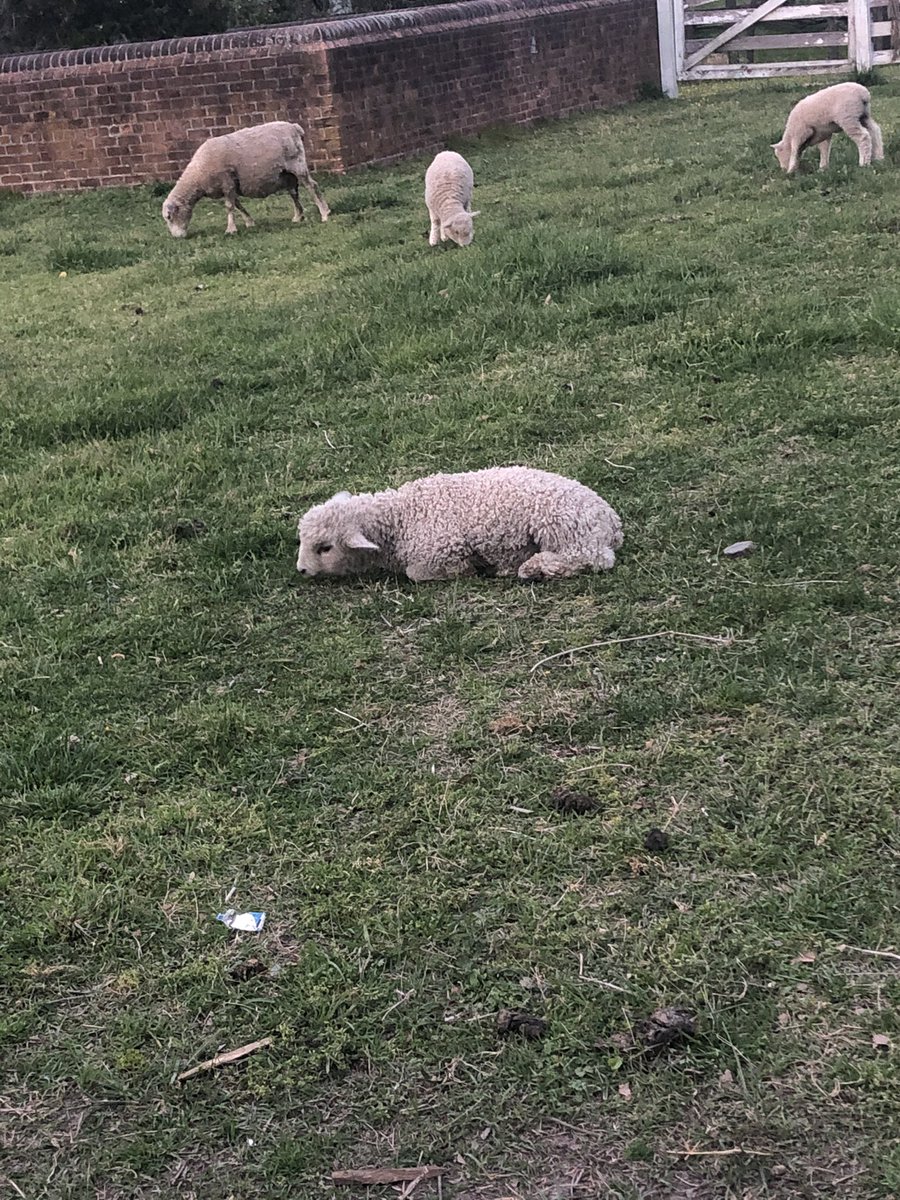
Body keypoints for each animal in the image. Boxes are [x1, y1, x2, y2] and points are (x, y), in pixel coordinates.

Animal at [162, 120, 330, 238]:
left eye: (169, 217)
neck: (197, 177)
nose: (177, 237)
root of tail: (294, 127)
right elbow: (238, 205)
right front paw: (249, 222)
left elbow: (229, 207)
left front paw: (231, 229)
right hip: (286, 173)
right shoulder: (229, 187)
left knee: (312, 186)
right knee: (293, 192)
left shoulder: (227, 182)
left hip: (297, 163)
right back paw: (298, 216)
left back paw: (324, 213)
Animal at [296, 466, 623, 583]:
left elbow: (417, 574)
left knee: (592, 558)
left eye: (325, 547)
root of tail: (610, 519)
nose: (301, 570)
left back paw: (532, 568)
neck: (401, 517)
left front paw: (467, 570)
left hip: (563, 528)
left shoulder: (442, 550)